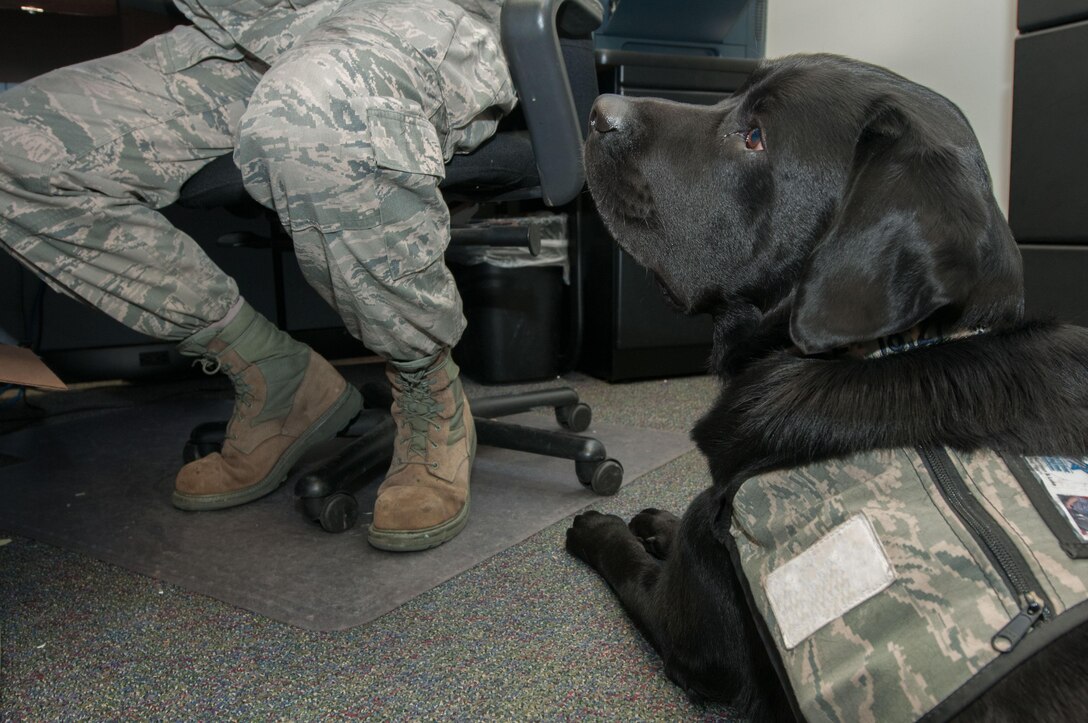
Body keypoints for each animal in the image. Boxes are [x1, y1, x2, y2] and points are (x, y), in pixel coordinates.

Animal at [570, 53, 1088, 717]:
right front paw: (657, 518)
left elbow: (623, 554)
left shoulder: (690, 636)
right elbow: (674, 522)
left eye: (755, 136)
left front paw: (597, 525)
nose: (596, 110)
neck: (894, 348)